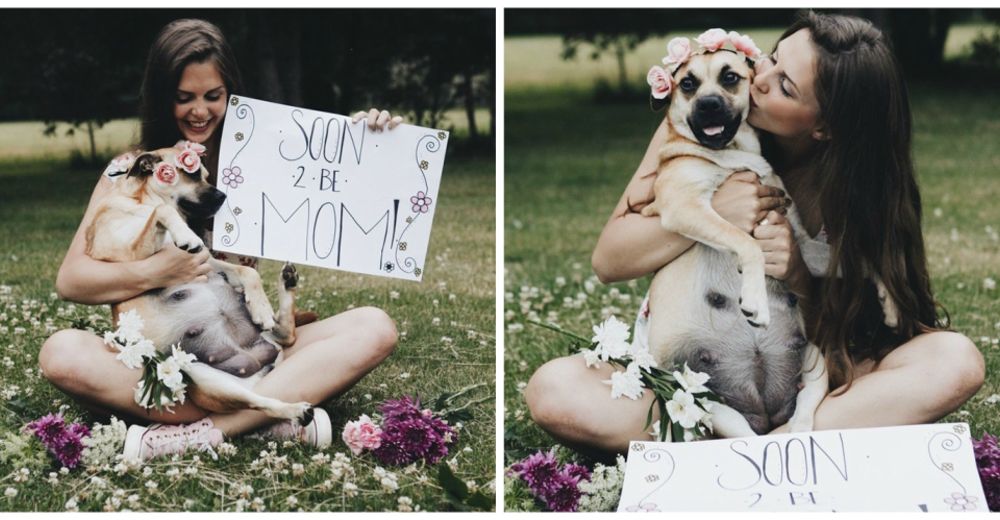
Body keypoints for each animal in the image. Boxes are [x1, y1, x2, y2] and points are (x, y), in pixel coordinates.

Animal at [88, 143, 310, 422]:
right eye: (192, 175)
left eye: (205, 174)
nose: (223, 195)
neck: (142, 200)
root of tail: (256, 365)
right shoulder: (130, 256)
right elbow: (162, 211)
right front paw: (184, 235)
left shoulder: (207, 262)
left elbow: (247, 272)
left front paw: (261, 307)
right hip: (204, 379)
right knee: (260, 401)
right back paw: (296, 411)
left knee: (288, 336)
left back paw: (286, 285)